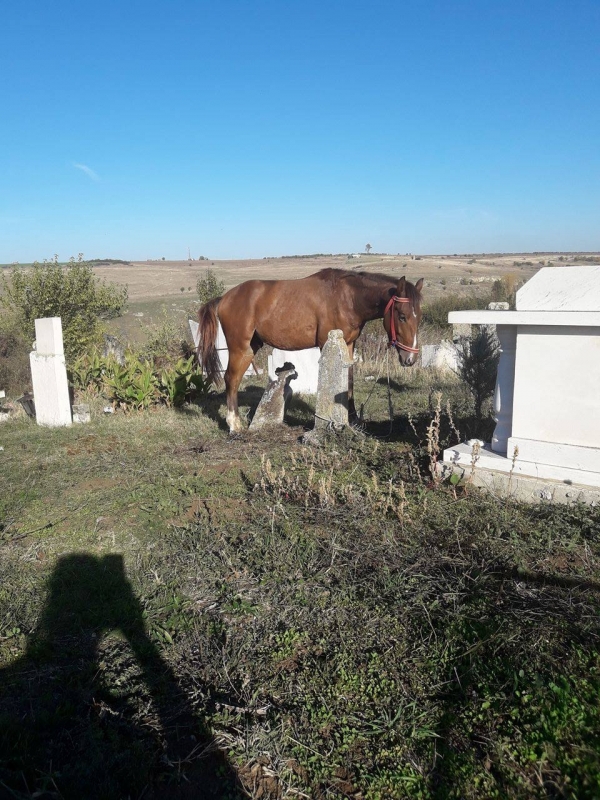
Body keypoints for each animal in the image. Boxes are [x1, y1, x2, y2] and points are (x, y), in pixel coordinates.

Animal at [197, 268, 424, 433]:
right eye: (402, 316)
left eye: (419, 316)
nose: (410, 358)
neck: (348, 297)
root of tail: (224, 298)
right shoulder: (326, 344)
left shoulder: (349, 345)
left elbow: (348, 380)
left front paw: (351, 419)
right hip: (239, 347)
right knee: (231, 379)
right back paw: (234, 425)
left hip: (251, 347)